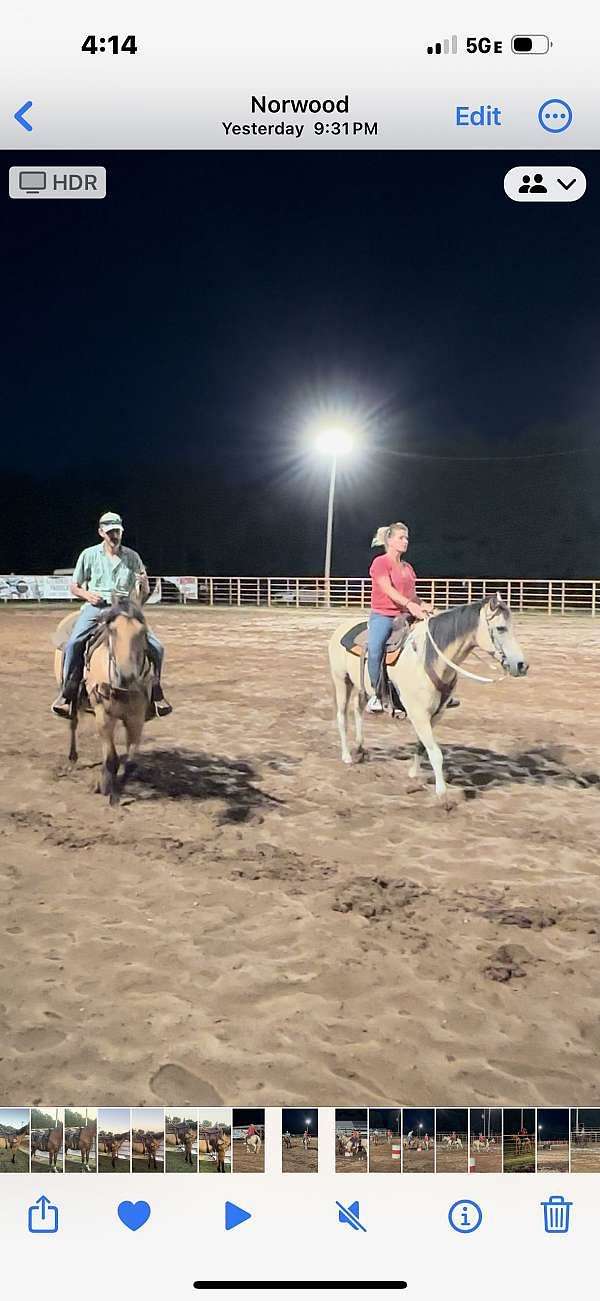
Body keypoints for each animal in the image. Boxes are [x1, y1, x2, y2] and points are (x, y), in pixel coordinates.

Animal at [53, 598, 154, 801]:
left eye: (143, 632)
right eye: (112, 631)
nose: (127, 676)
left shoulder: (136, 718)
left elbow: (130, 761)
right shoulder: (104, 714)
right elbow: (112, 759)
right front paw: (105, 788)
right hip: (72, 700)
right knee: (73, 724)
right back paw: (72, 760)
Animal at [327, 593, 528, 801]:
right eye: (501, 628)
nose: (522, 665)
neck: (428, 659)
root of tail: (342, 628)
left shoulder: (435, 714)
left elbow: (422, 746)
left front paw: (413, 775)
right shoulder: (419, 715)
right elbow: (436, 753)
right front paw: (442, 794)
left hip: (363, 688)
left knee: (358, 710)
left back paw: (360, 749)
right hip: (342, 681)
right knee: (342, 717)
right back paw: (347, 756)